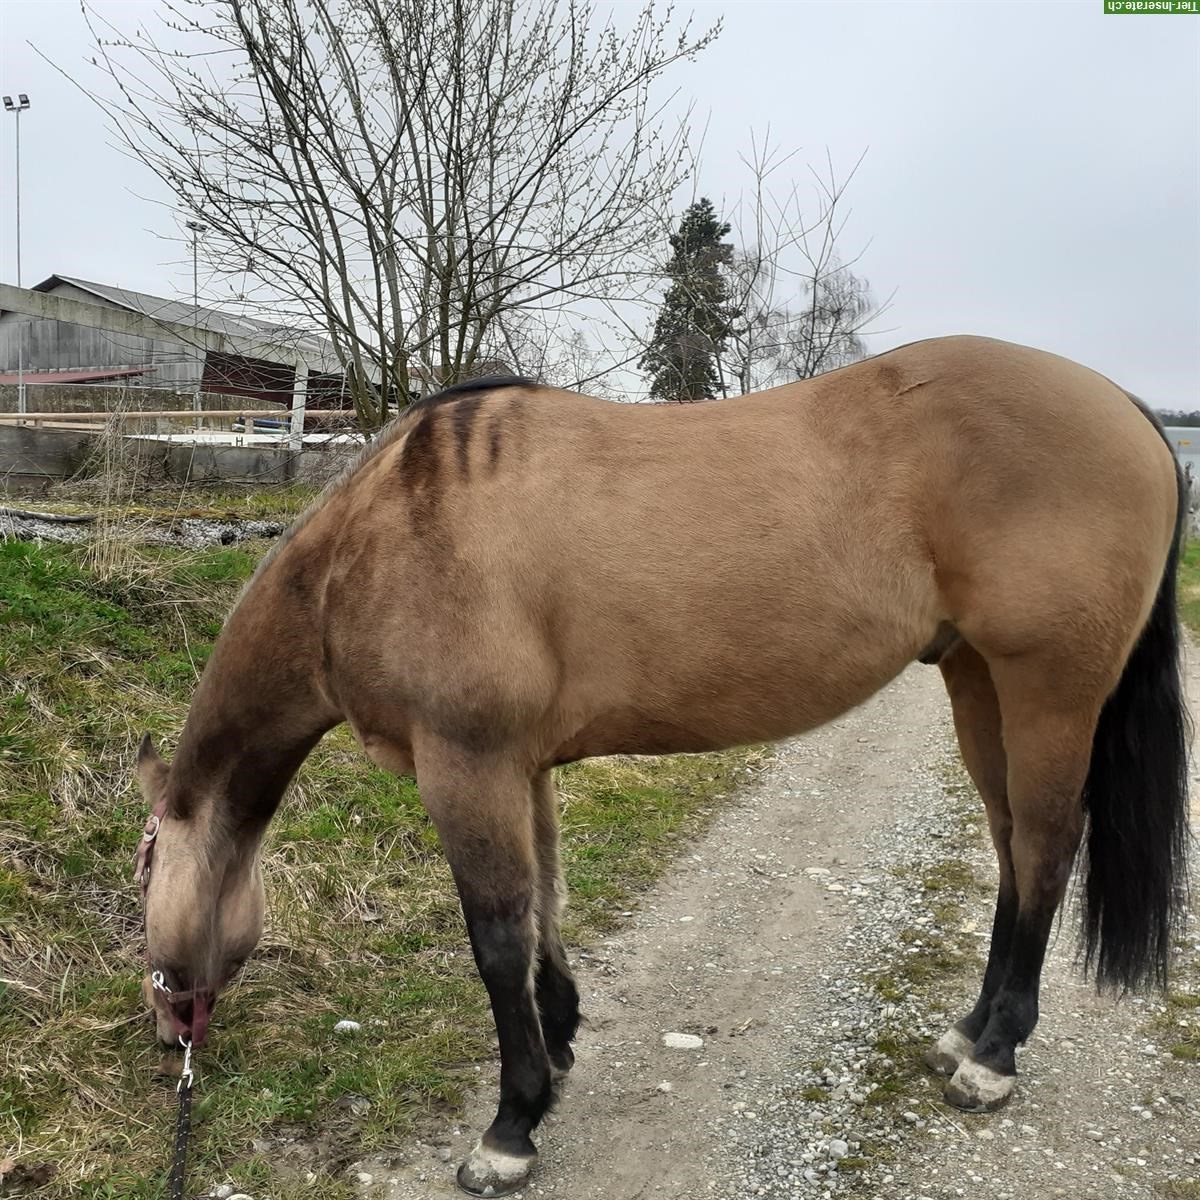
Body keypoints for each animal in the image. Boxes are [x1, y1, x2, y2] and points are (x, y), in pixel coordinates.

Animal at [136, 338, 1185, 1200]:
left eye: (143, 872)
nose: (168, 1036)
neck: (378, 538)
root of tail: (1131, 410)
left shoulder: (465, 765)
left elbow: (497, 937)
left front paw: (511, 1127)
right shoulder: (522, 766)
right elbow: (545, 907)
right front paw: (556, 1047)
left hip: (1047, 691)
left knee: (1045, 851)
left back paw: (994, 1058)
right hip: (978, 683)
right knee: (1010, 849)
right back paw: (967, 1030)